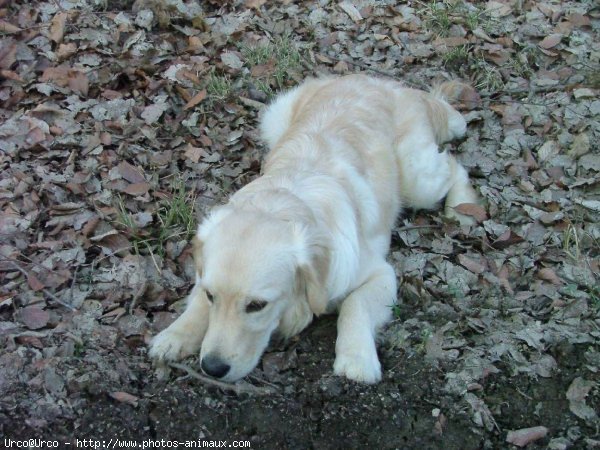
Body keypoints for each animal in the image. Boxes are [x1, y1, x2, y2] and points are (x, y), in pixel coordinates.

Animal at [149, 74, 478, 384]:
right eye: (211, 295)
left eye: (257, 305)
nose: (213, 368)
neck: (281, 204)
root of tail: (385, 84)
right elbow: (195, 303)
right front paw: (176, 334)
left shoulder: (379, 273)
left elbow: (355, 304)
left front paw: (356, 359)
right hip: (274, 118)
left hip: (417, 179)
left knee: (454, 167)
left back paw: (462, 211)